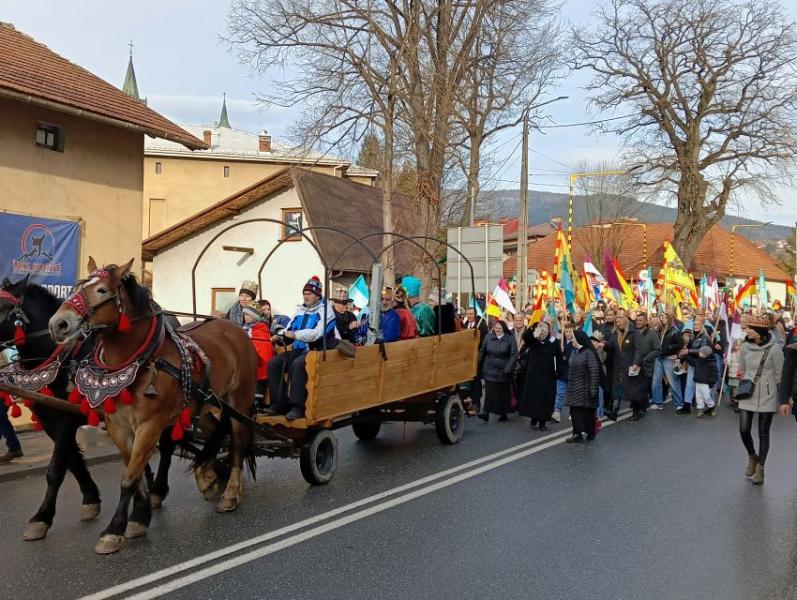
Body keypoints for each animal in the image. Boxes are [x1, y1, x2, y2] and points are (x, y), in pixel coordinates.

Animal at [49, 258, 258, 554]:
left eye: (101, 290)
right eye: (79, 287)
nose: (58, 323)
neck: (140, 360)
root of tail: (234, 329)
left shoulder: (149, 425)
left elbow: (130, 476)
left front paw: (113, 531)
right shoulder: (118, 427)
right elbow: (133, 473)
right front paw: (139, 517)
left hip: (238, 399)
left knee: (238, 442)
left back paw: (229, 493)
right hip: (207, 402)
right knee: (217, 432)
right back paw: (207, 477)